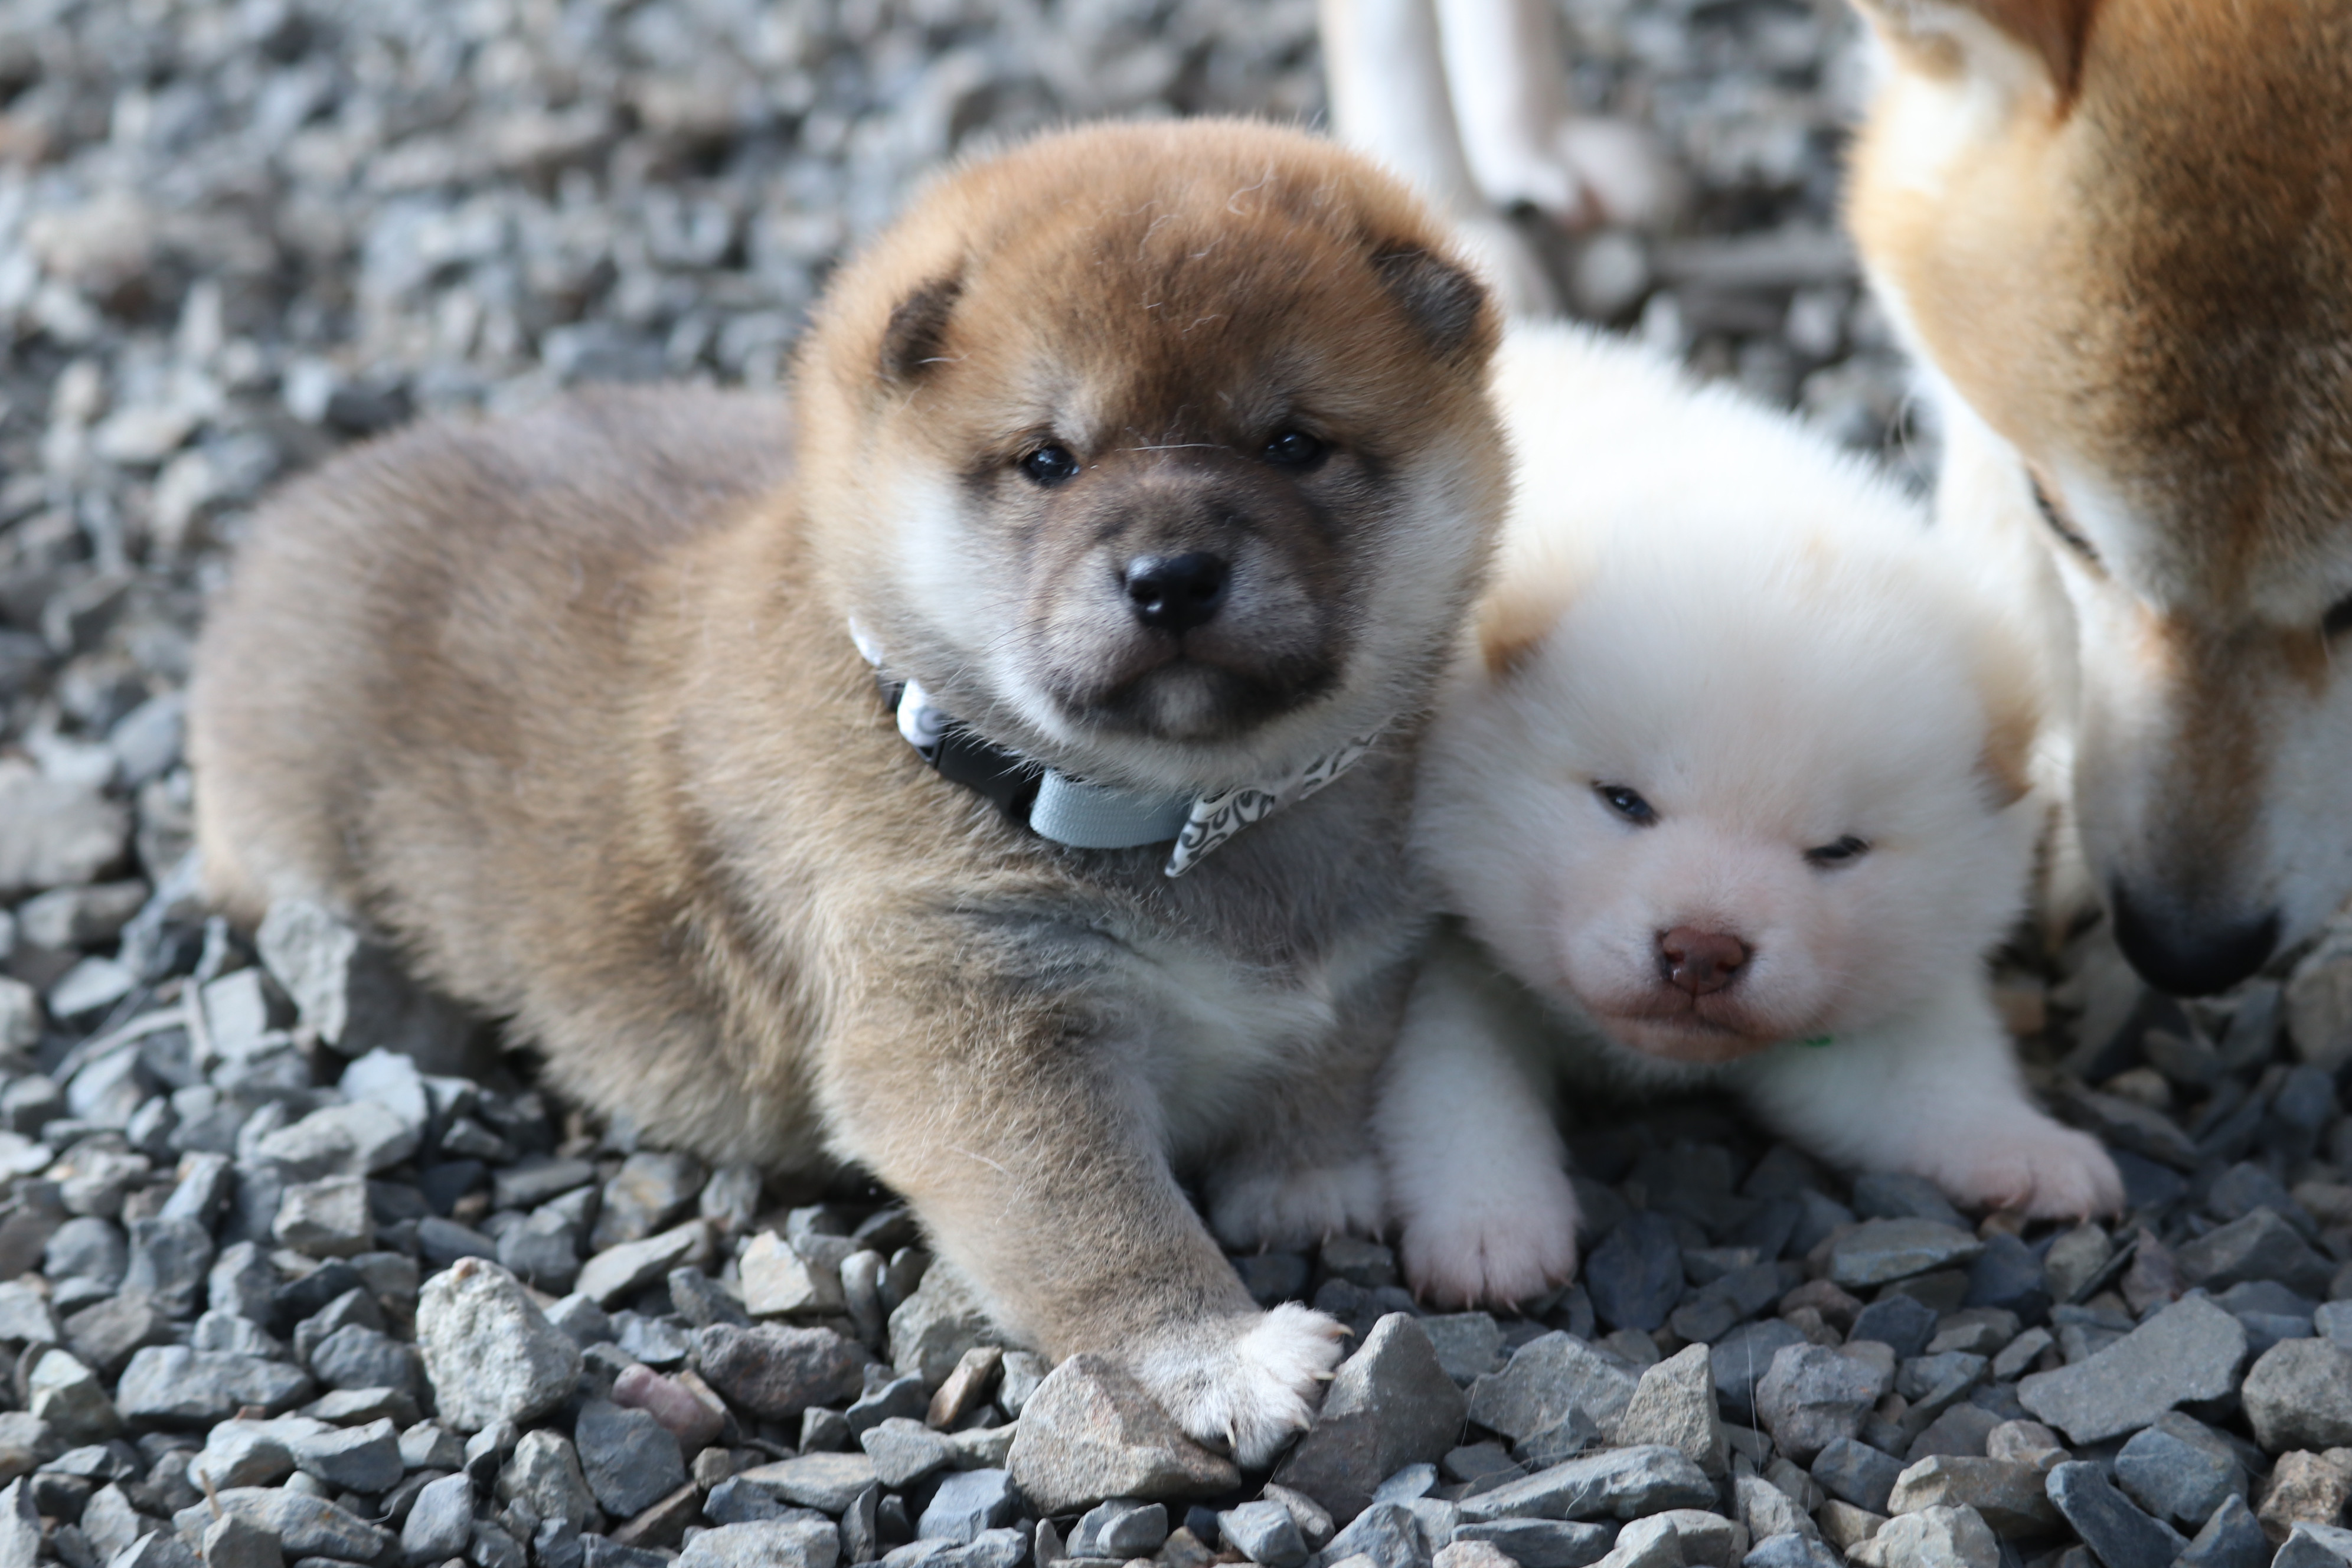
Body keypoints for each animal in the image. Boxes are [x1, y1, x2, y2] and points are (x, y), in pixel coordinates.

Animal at [188, 120, 1505, 1457]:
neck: (1185, 814)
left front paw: (1304, 1182)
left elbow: (1332, 1059)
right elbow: (1101, 1222)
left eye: (1292, 442)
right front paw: (1216, 1357)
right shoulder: (980, 1027)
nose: (1172, 574)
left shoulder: (1361, 948)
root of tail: (287, 523)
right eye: (1047, 460)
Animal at [1373, 329, 2135, 1316]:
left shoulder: (1868, 1017)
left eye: (1837, 850)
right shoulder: (1439, 959)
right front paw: (1490, 1232)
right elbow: (1461, 1087)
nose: (1703, 951)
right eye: (1624, 801)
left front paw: (2035, 1151)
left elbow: (1933, 1082)